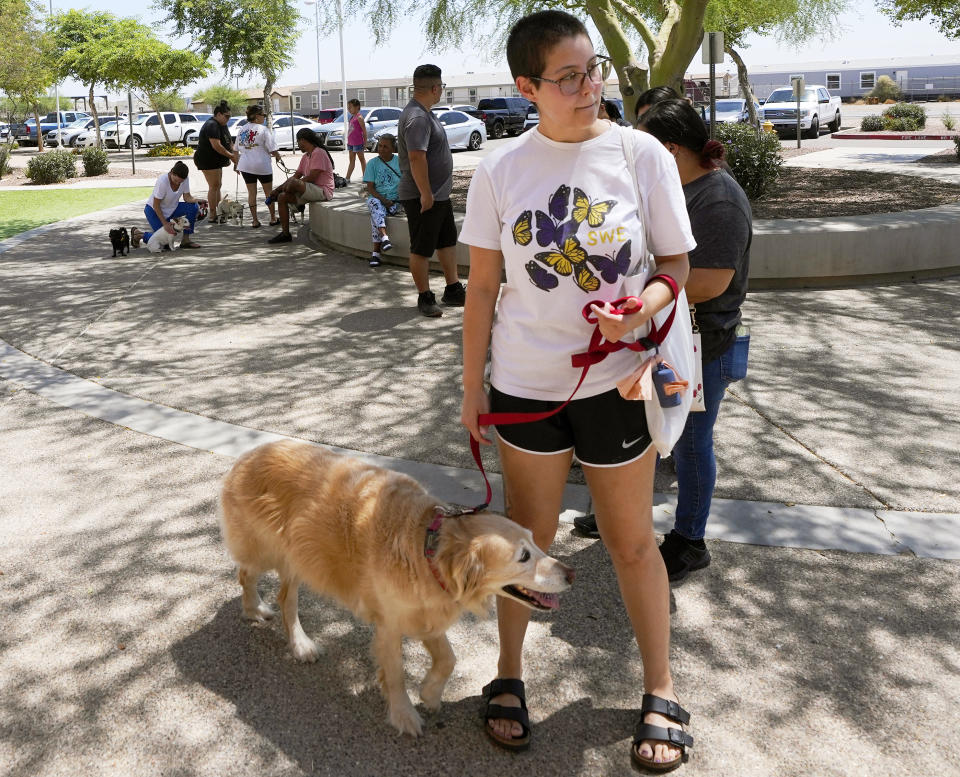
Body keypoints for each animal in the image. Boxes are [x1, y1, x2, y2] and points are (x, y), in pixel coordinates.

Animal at [219, 440, 576, 736]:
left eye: (535, 541)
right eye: (523, 556)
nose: (571, 574)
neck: (428, 546)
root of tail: (248, 454)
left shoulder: (426, 611)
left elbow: (449, 658)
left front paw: (430, 693)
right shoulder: (389, 623)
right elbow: (395, 673)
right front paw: (404, 714)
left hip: (297, 558)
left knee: (284, 597)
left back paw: (299, 642)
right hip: (264, 550)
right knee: (246, 574)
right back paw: (255, 610)